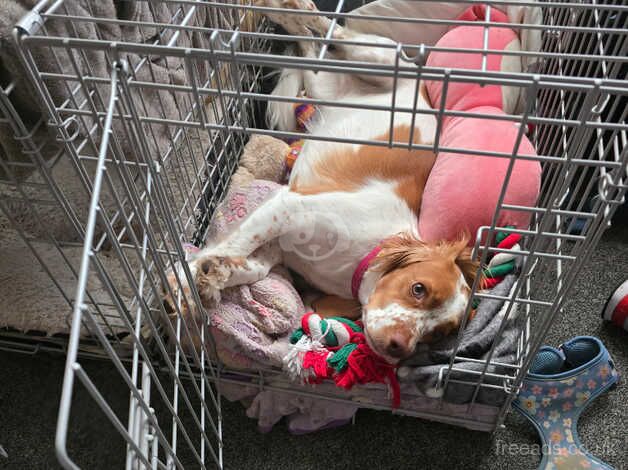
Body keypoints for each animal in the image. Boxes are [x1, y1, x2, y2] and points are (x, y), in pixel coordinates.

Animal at [167, 0, 480, 364]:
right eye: (419, 289)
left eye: (437, 334)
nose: (399, 347)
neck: (359, 260)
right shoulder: (289, 207)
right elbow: (235, 244)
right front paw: (186, 280)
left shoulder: (282, 246)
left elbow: (251, 266)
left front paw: (212, 276)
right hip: (381, 58)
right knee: (333, 32)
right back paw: (286, 8)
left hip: (324, 84)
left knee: (312, 49)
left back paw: (283, 15)